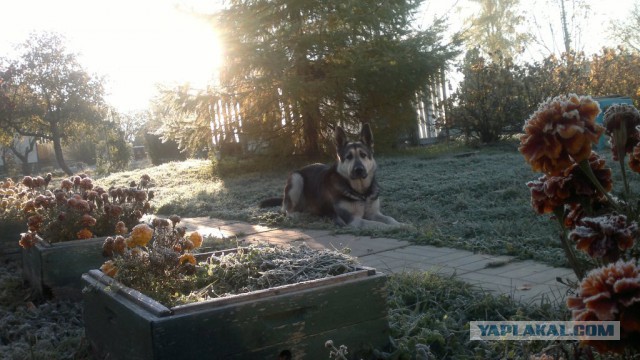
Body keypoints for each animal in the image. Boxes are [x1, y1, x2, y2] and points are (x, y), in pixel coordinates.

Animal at [258, 121, 400, 228]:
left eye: (363, 155)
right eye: (348, 157)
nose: (358, 170)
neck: (361, 192)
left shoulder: (374, 214)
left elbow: (389, 219)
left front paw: (401, 225)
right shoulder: (353, 221)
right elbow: (378, 225)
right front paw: (392, 228)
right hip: (296, 179)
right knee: (286, 210)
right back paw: (295, 215)